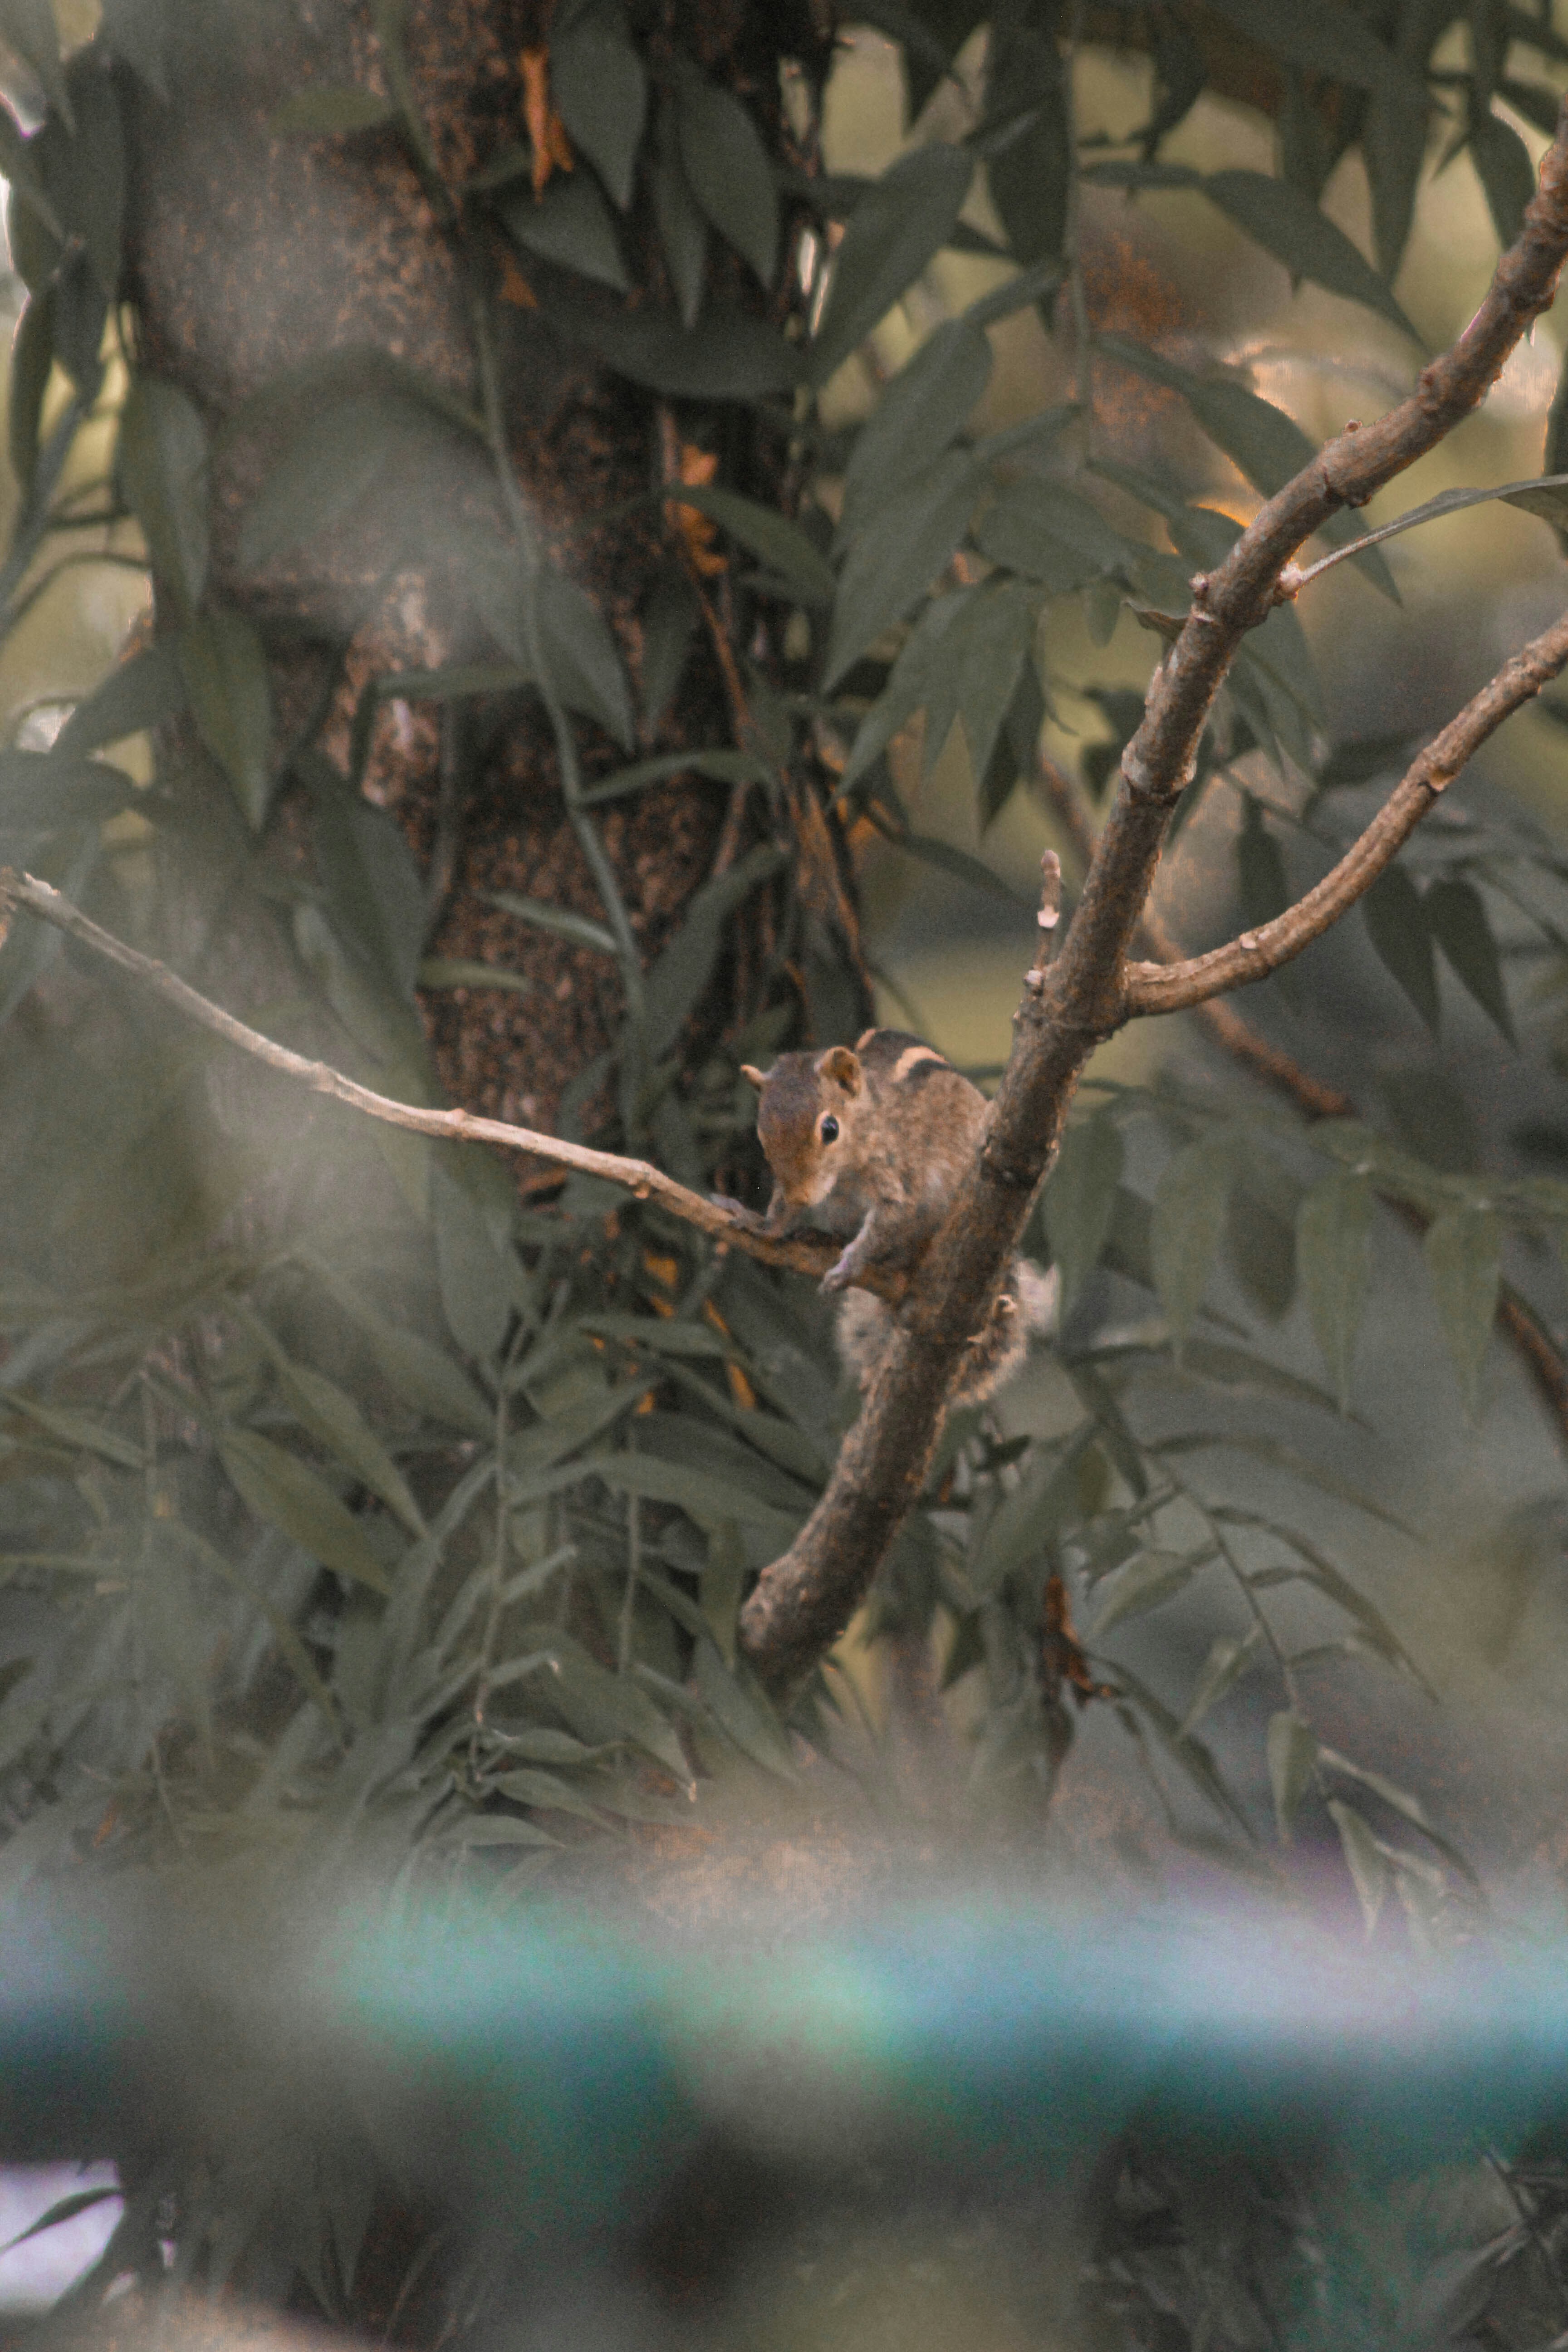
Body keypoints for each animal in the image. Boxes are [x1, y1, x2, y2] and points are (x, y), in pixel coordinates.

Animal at [716, 1027, 1056, 1407]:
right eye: (762, 1133)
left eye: (830, 1129)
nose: (802, 1196)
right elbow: (781, 1210)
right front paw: (763, 1225)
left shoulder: (899, 1180)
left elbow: (888, 1223)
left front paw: (848, 1267)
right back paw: (820, 1237)